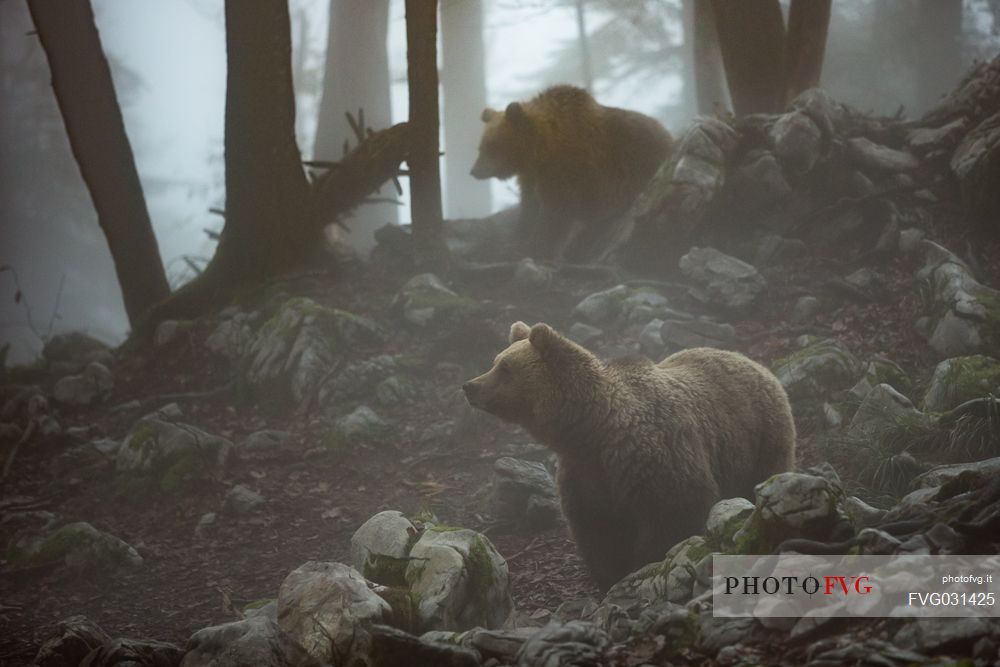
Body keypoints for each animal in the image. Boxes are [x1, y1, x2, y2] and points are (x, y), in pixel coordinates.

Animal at [460, 324, 796, 588]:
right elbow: (597, 527)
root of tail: (752, 361)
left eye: (505, 368)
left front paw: (644, 562)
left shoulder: (652, 457)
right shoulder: (587, 473)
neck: (592, 429)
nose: (469, 386)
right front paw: (608, 574)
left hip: (762, 439)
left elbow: (673, 511)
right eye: (495, 361)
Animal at [468, 84, 672, 260]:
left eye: (493, 146)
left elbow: (556, 212)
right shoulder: (532, 177)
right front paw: (518, 238)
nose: (474, 171)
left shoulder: (568, 172)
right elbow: (530, 206)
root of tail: (670, 136)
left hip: (637, 171)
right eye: (481, 147)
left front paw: (534, 247)